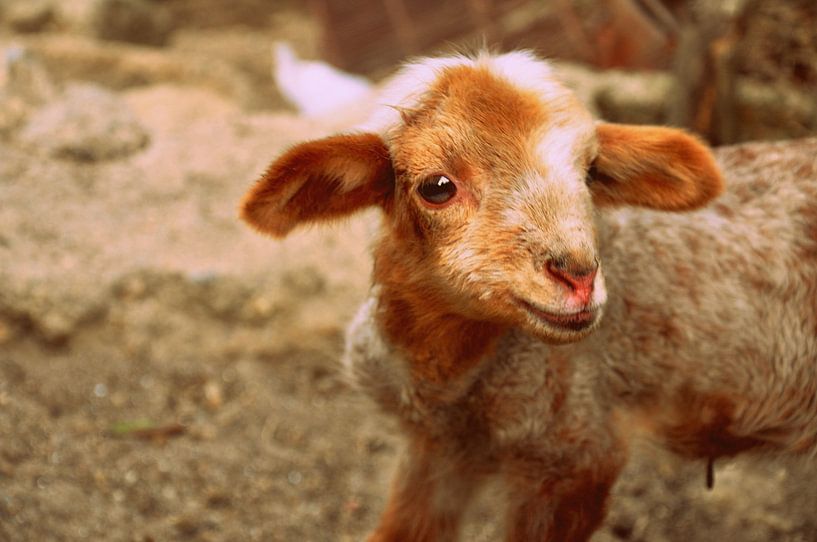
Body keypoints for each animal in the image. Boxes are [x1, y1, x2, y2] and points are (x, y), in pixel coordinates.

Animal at [240, 51, 817, 541]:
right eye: (437, 187)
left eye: (590, 173)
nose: (578, 275)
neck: (450, 375)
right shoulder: (435, 451)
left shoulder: (574, 456)